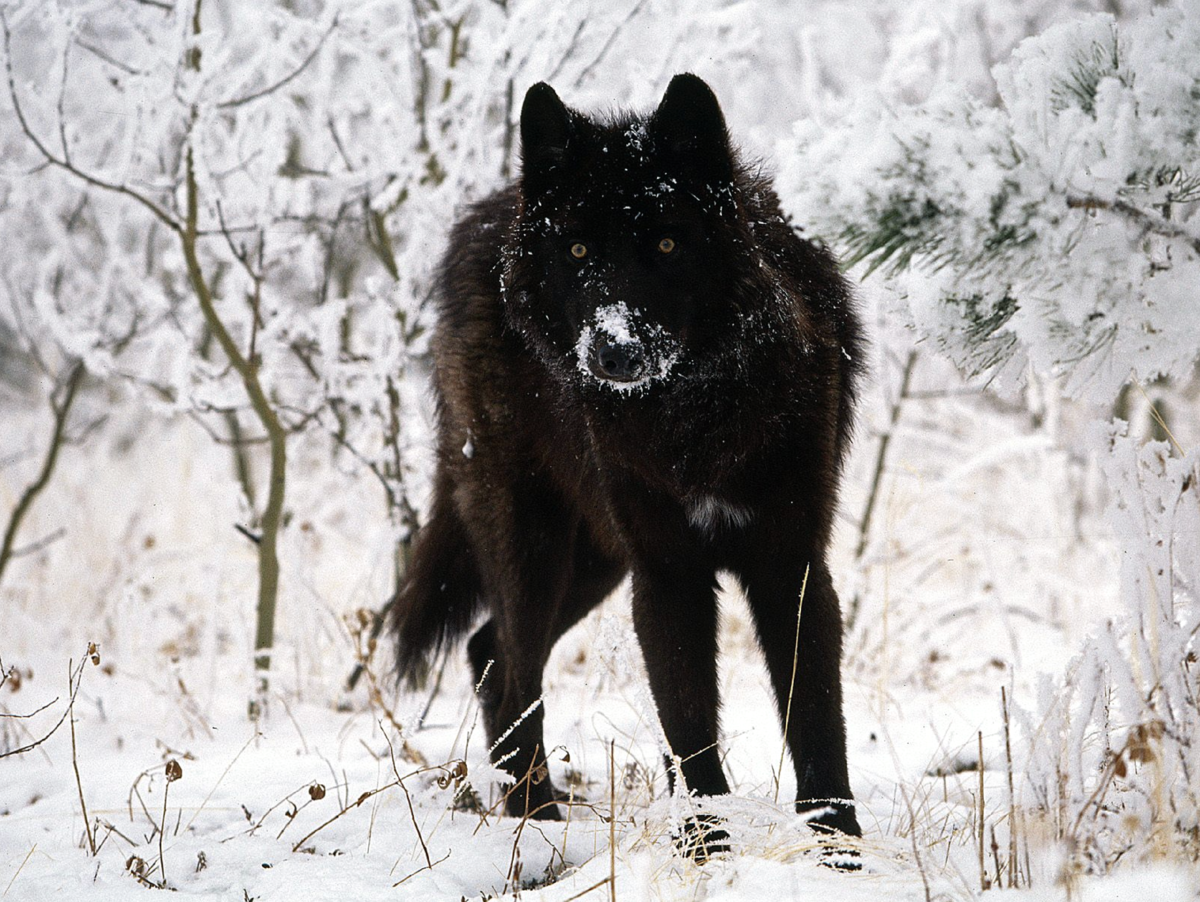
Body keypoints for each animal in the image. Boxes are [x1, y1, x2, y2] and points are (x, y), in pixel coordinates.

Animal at [393, 74, 864, 844]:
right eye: (579, 252)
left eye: (668, 243)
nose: (614, 352)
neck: (694, 418)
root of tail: (487, 215)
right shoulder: (667, 573)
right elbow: (690, 727)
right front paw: (705, 847)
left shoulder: (789, 564)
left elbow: (816, 721)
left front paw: (840, 847)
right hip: (536, 547)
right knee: (512, 667)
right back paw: (537, 819)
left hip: (595, 561)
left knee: (488, 651)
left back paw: (534, 814)